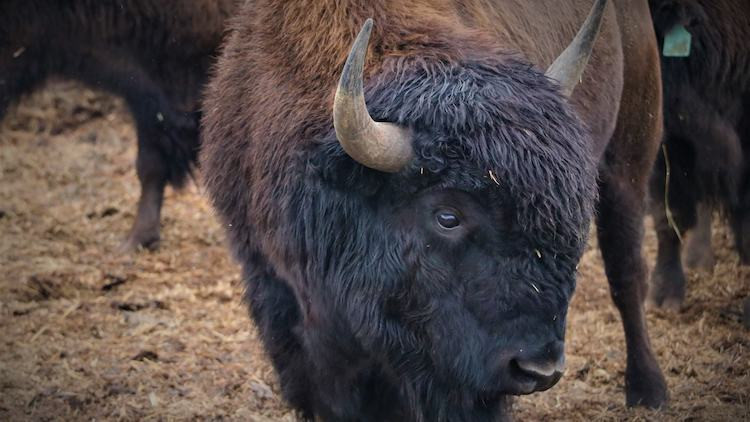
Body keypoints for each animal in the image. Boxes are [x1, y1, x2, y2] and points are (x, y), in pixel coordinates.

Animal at [201, 0, 667, 419]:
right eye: (447, 216)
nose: (538, 369)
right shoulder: (280, 300)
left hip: (628, 163)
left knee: (626, 275)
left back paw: (649, 389)